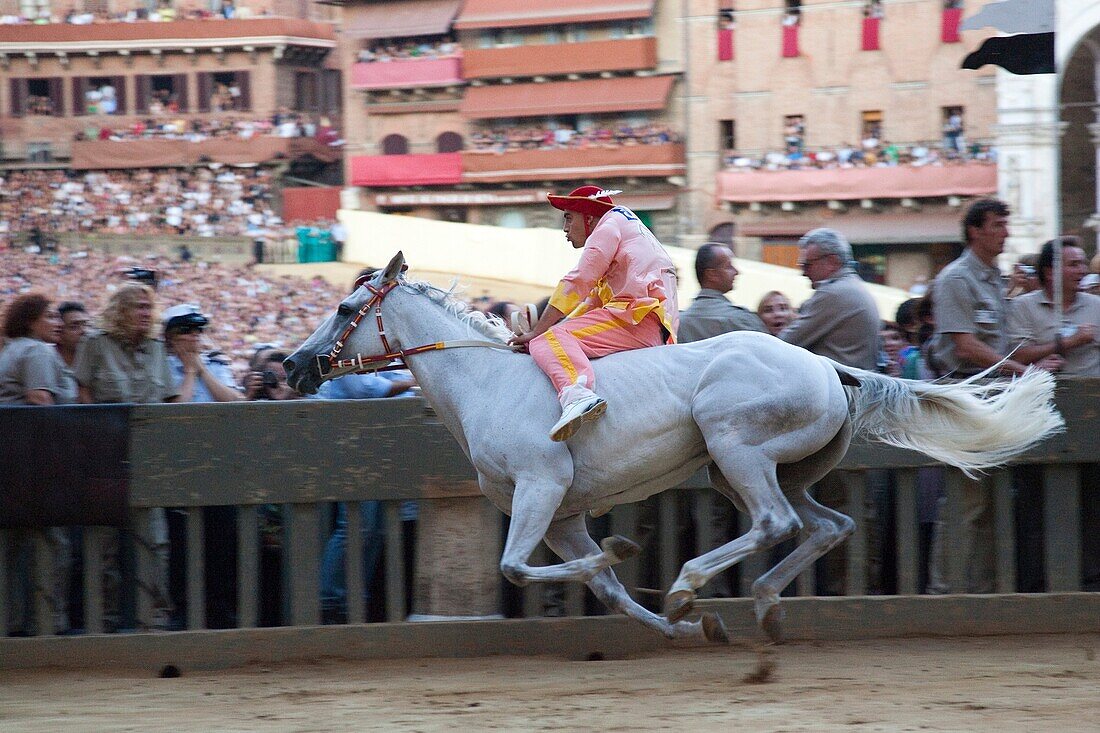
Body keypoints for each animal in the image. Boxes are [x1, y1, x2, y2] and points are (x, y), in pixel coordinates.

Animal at [286, 254, 1064, 642]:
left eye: (344, 307)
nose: (294, 366)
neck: (486, 383)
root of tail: (826, 366)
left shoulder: (541, 487)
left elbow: (517, 566)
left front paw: (645, 568)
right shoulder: (562, 512)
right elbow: (598, 586)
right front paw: (683, 623)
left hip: (736, 445)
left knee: (777, 522)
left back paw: (696, 580)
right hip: (760, 468)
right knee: (825, 525)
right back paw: (760, 604)